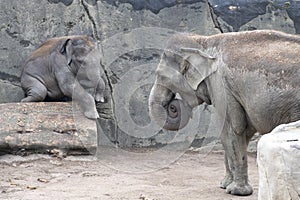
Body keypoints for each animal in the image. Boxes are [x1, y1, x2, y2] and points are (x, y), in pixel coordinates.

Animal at [148, 29, 300, 195]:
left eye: (161, 75)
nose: (172, 106)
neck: (203, 41)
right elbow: (240, 132)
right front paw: (225, 185)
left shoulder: (221, 85)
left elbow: (233, 128)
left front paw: (236, 191)